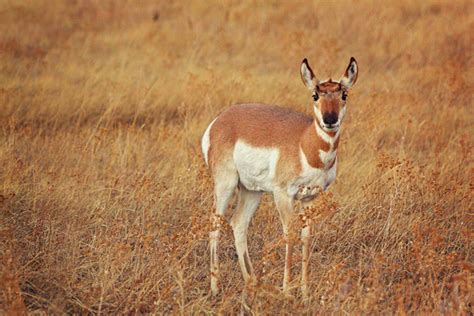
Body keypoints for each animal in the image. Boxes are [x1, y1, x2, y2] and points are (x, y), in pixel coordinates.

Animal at [201, 56, 360, 296]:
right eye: (315, 94)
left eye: (344, 94)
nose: (329, 119)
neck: (305, 143)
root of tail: (220, 120)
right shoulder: (283, 195)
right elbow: (290, 234)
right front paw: (287, 291)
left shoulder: (310, 198)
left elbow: (305, 237)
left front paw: (305, 293)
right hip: (225, 184)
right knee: (214, 223)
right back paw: (215, 289)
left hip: (252, 191)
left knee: (238, 223)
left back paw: (252, 283)